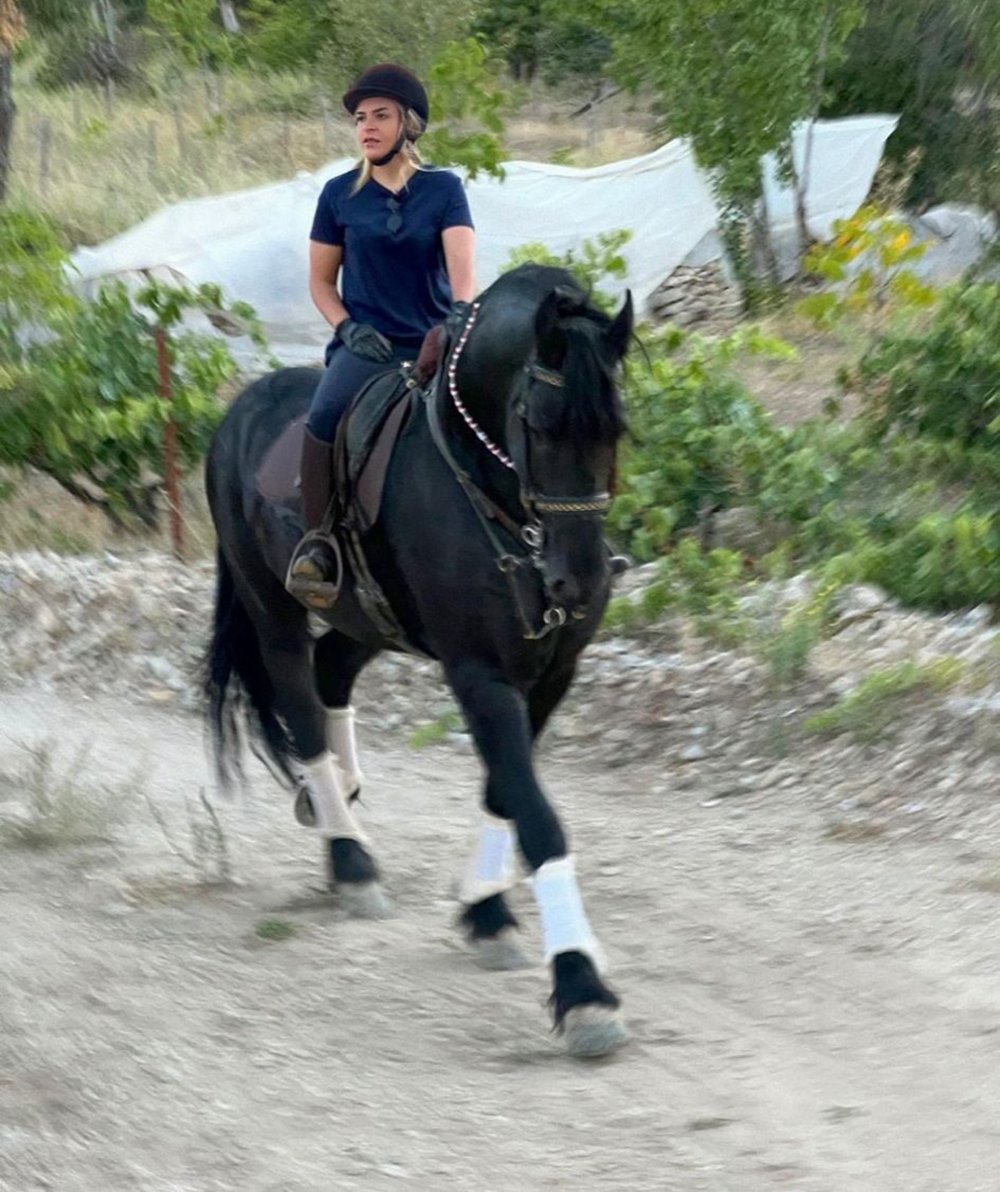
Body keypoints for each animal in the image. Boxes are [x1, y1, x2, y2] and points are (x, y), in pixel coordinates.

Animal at [203, 265, 634, 1058]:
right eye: (537, 423)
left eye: (614, 428)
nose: (580, 582)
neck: (490, 492)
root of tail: (241, 405)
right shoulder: (479, 673)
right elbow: (537, 816)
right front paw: (583, 989)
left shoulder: (551, 674)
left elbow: (504, 792)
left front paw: (487, 914)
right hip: (270, 605)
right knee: (299, 701)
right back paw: (349, 860)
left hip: (368, 619)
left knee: (331, 671)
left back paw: (337, 801)